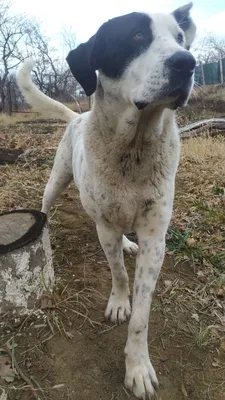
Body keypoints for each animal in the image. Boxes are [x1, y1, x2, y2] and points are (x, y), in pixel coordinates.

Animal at [17, 2, 196, 396]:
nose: (187, 62)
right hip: (58, 177)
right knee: (46, 203)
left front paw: (138, 366)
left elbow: (142, 314)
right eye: (137, 35)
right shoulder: (106, 228)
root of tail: (78, 115)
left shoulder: (155, 238)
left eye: (179, 37)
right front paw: (118, 302)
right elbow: (118, 273)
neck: (134, 149)